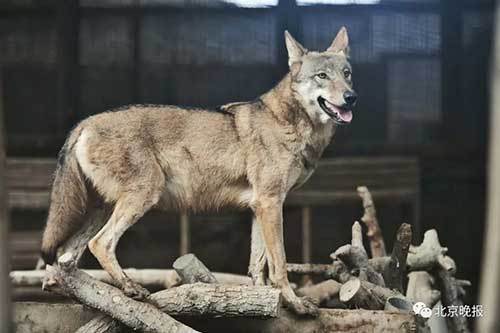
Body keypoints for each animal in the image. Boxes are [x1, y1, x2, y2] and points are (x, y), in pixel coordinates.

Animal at [42, 26, 356, 314]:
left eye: (347, 73)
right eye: (322, 76)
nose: (351, 97)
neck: (289, 122)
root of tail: (84, 122)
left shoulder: (260, 206)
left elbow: (258, 267)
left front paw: (262, 302)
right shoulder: (270, 203)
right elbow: (279, 265)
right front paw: (293, 303)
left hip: (103, 208)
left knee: (65, 258)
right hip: (141, 197)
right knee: (100, 244)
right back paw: (131, 288)